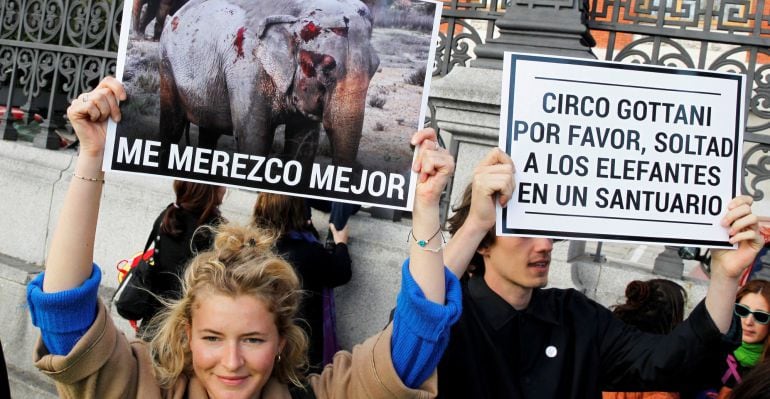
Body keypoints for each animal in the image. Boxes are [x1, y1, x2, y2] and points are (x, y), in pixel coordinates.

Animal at [158, 0, 380, 168]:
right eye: (327, 68)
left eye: (375, 67)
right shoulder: (247, 69)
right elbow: (254, 138)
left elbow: (303, 144)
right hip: (166, 64)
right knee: (172, 126)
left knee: (209, 132)